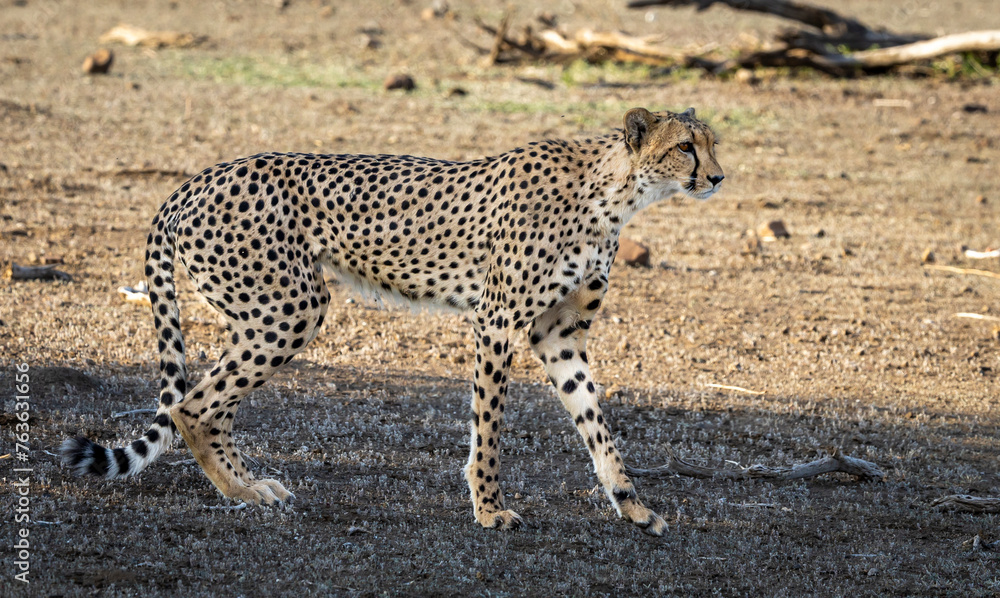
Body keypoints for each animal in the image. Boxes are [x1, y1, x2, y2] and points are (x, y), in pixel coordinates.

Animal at [62, 107, 724, 536]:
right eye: (685, 147)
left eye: (714, 143)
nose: (717, 177)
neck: (614, 192)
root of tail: (198, 177)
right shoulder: (496, 322)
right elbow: (489, 426)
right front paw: (489, 508)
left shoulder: (559, 336)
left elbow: (596, 423)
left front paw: (632, 505)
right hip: (290, 307)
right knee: (190, 406)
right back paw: (243, 490)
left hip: (265, 311)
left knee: (204, 402)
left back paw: (249, 485)